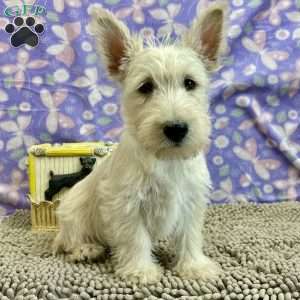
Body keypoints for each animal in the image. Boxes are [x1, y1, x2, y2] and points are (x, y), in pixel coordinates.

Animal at [54, 2, 227, 284]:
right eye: (145, 87)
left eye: (190, 83)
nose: (176, 128)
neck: (166, 159)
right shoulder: (126, 203)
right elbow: (135, 238)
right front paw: (141, 271)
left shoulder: (191, 201)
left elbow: (190, 236)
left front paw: (194, 266)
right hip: (73, 210)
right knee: (67, 239)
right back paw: (86, 249)